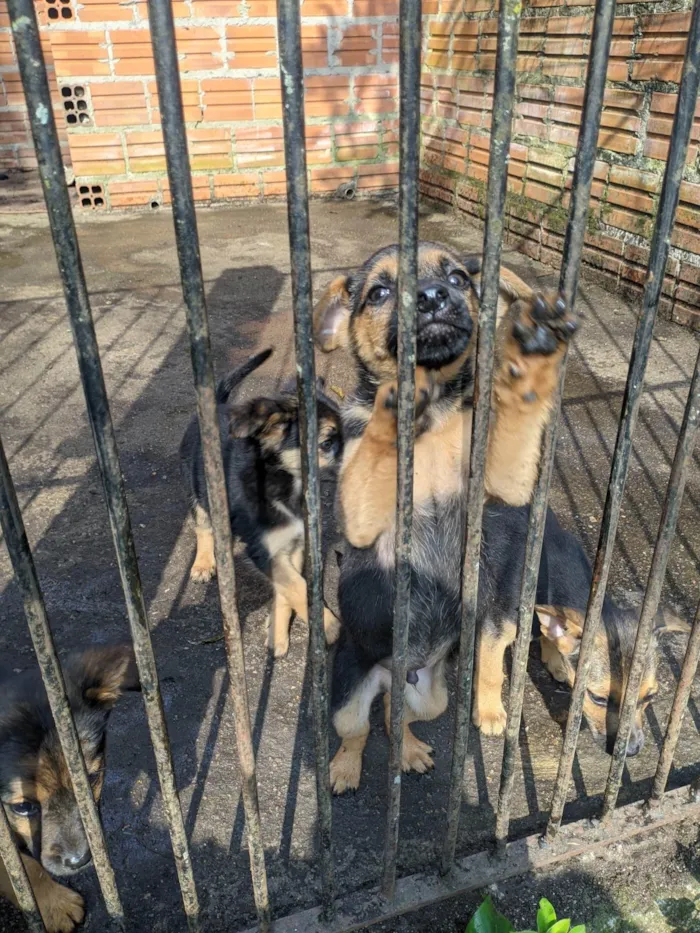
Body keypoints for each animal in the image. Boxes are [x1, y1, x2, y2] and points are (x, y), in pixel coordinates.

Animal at [179, 346, 344, 660]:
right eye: (327, 444)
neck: (285, 483)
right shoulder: (263, 548)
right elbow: (298, 587)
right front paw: (329, 626)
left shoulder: (293, 543)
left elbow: (288, 589)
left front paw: (277, 633)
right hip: (197, 486)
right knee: (203, 525)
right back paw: (204, 562)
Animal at [474, 498, 688, 752]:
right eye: (598, 698)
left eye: (649, 698)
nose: (631, 751)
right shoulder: (495, 629)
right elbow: (491, 674)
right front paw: (489, 714)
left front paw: (555, 659)